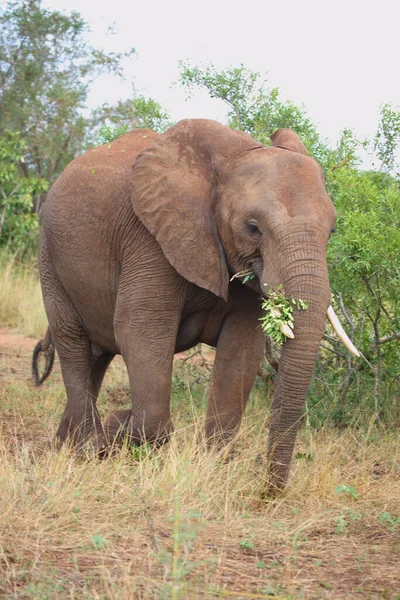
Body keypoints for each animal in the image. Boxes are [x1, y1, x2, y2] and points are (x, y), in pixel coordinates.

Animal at [32, 117, 356, 492]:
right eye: (253, 227)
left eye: (332, 230)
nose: (265, 491)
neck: (231, 157)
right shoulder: (150, 238)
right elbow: (139, 330)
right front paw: (119, 425)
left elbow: (242, 350)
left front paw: (215, 469)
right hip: (49, 256)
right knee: (72, 342)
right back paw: (88, 447)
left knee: (97, 356)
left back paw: (65, 448)